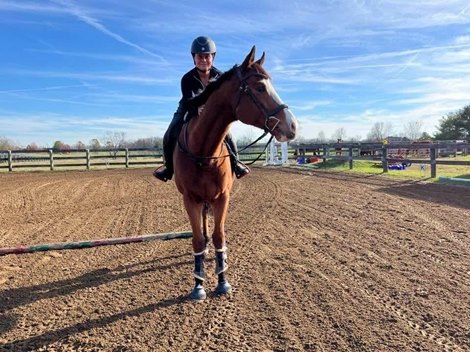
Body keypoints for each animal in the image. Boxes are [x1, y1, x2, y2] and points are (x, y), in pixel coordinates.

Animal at [173, 46, 298, 300]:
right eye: (259, 88)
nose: (292, 126)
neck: (204, 153)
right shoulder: (190, 199)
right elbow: (197, 240)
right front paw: (198, 285)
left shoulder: (222, 198)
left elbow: (220, 236)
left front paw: (222, 281)